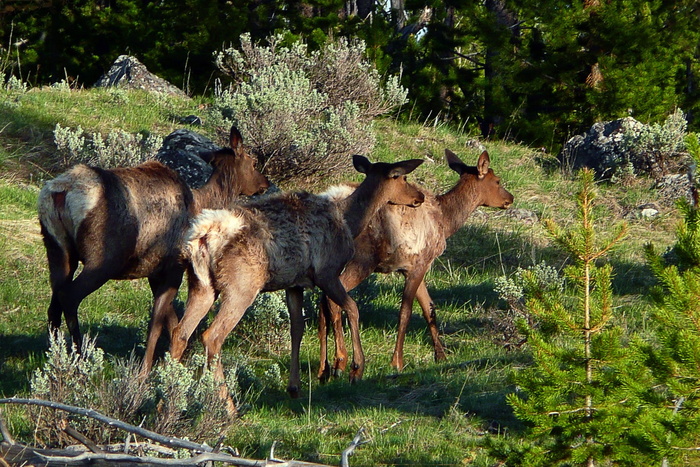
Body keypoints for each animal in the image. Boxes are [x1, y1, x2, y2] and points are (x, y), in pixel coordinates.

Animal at [37, 125, 270, 372]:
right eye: (253, 162)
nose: (265, 184)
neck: (201, 202)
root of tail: (60, 192)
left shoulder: (154, 272)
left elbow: (170, 321)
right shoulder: (173, 267)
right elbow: (158, 323)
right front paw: (148, 369)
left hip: (57, 249)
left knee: (55, 299)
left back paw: (54, 353)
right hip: (102, 259)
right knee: (69, 296)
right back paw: (80, 356)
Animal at [168, 154, 426, 410]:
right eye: (402, 177)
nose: (420, 197)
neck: (349, 222)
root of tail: (202, 237)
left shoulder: (294, 284)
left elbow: (297, 328)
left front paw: (294, 387)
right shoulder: (327, 272)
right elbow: (352, 308)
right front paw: (355, 369)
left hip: (200, 284)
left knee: (180, 332)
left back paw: (166, 395)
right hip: (241, 286)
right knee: (212, 336)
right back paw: (227, 404)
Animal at [318, 150, 516, 380]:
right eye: (497, 180)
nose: (510, 198)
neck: (446, 222)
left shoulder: (414, 267)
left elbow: (430, 308)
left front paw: (441, 356)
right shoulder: (419, 264)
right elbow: (406, 312)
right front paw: (397, 362)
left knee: (322, 300)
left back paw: (323, 368)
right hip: (362, 260)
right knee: (333, 300)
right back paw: (341, 362)